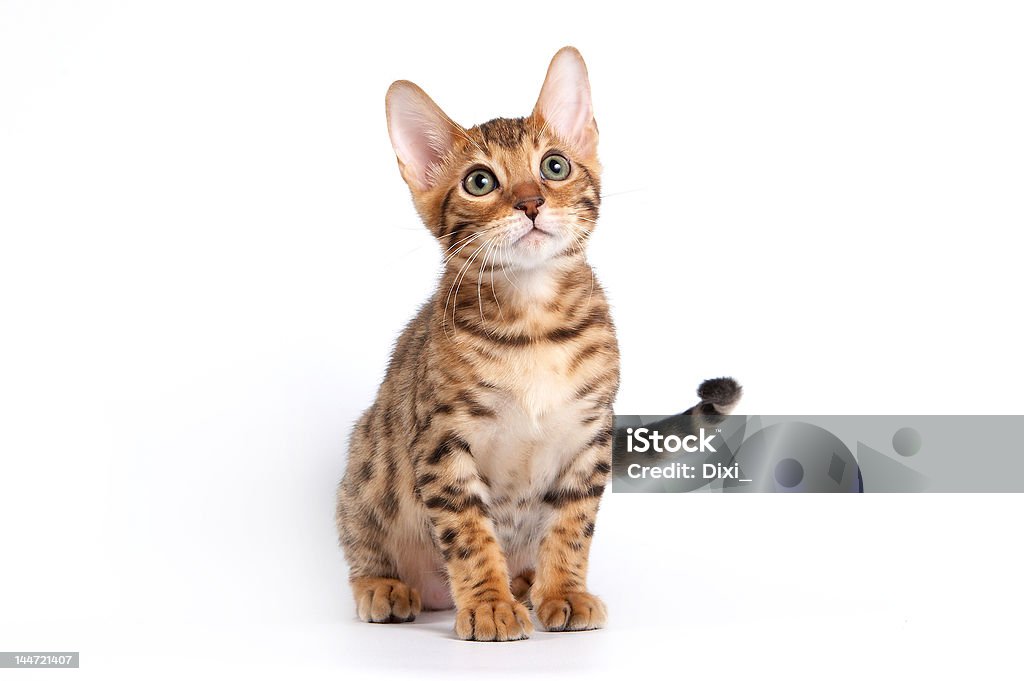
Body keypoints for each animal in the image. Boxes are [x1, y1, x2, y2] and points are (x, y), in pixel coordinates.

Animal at [339, 46, 741, 639]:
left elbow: (572, 525)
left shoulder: (587, 436)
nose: (530, 202)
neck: (534, 329)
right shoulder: (442, 443)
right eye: (479, 181)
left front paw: (563, 592)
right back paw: (386, 586)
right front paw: (488, 603)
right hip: (366, 464)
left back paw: (526, 583)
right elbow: (469, 532)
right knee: (363, 536)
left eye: (555, 166)